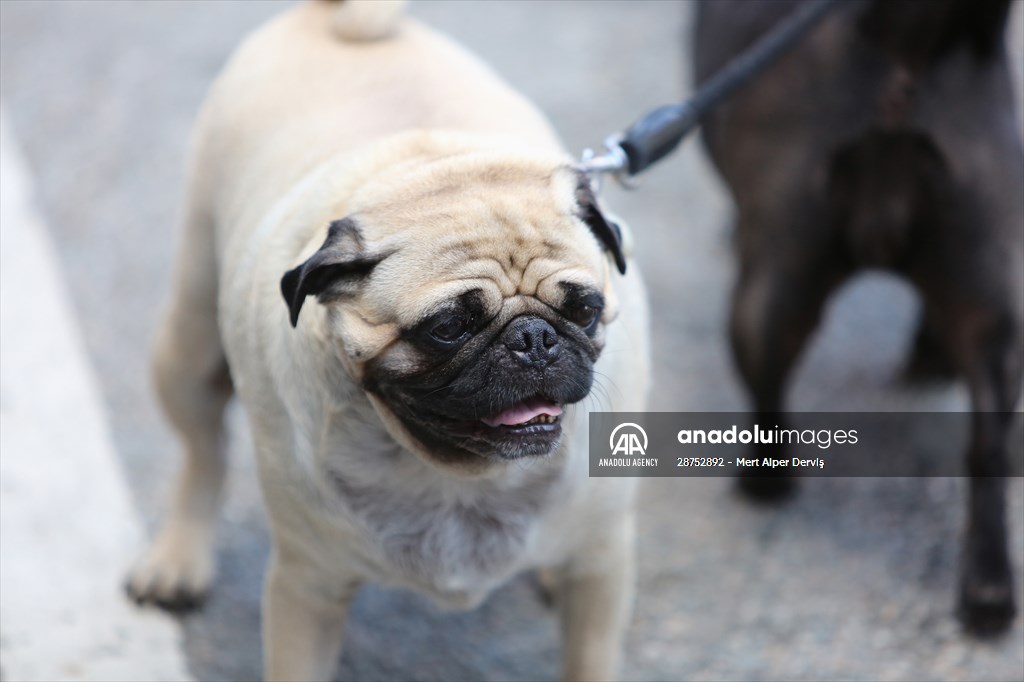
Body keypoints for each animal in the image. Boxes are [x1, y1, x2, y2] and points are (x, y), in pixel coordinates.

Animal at [692, 0, 1019, 630]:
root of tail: (907, 51)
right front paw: (929, 354)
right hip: (992, 304)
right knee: (990, 445)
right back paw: (989, 589)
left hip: (772, 287)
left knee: (767, 389)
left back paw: (763, 482)